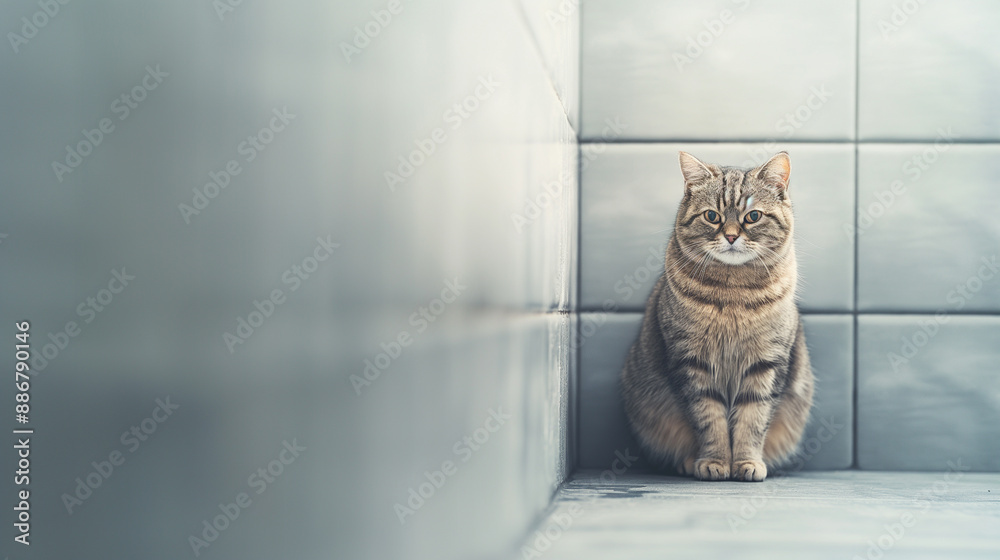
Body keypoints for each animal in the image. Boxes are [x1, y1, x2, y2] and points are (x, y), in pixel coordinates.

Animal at [620, 150, 816, 482]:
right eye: (712, 216)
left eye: (753, 216)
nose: (731, 236)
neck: (733, 292)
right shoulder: (691, 361)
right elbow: (709, 420)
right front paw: (715, 461)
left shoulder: (766, 362)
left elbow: (753, 419)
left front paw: (747, 462)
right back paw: (688, 462)